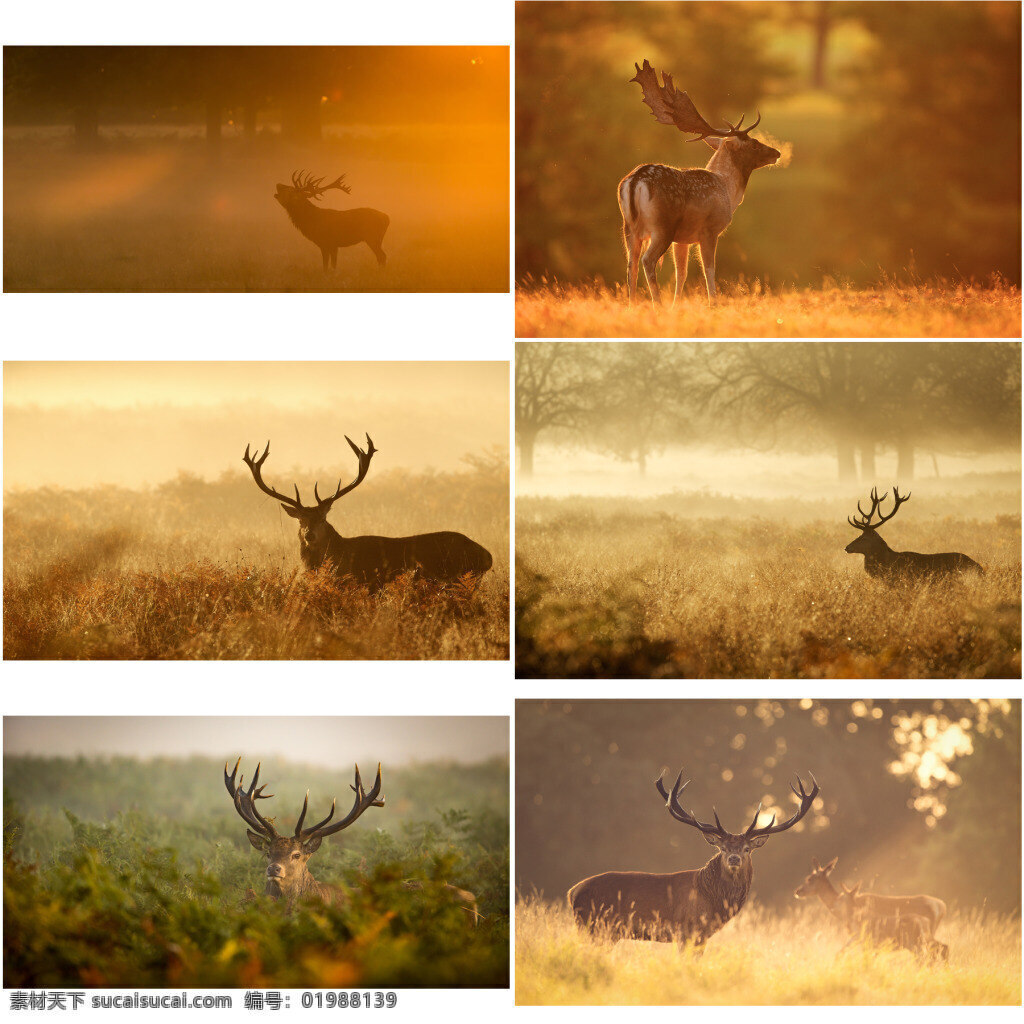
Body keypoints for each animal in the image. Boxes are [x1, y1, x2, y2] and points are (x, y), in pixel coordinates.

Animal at [241, 432, 493, 593]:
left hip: (461, 579)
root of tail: (487, 556)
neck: (340, 556)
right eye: (301, 520)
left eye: (323, 518)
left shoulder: (368, 583)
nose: (309, 535)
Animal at [569, 770, 815, 954]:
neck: (712, 901)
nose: (734, 858)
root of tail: (572, 892)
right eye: (722, 848)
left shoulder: (701, 935)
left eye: (747, 849)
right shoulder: (686, 930)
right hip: (594, 927)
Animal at [614, 59, 782, 305]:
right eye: (753, 143)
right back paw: (657, 304)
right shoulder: (709, 230)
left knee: (630, 264)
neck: (727, 190)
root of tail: (635, 181)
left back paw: (632, 305)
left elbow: (681, 274)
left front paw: (677, 305)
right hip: (662, 227)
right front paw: (713, 303)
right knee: (647, 260)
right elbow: (709, 270)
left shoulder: (682, 239)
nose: (777, 152)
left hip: (629, 227)